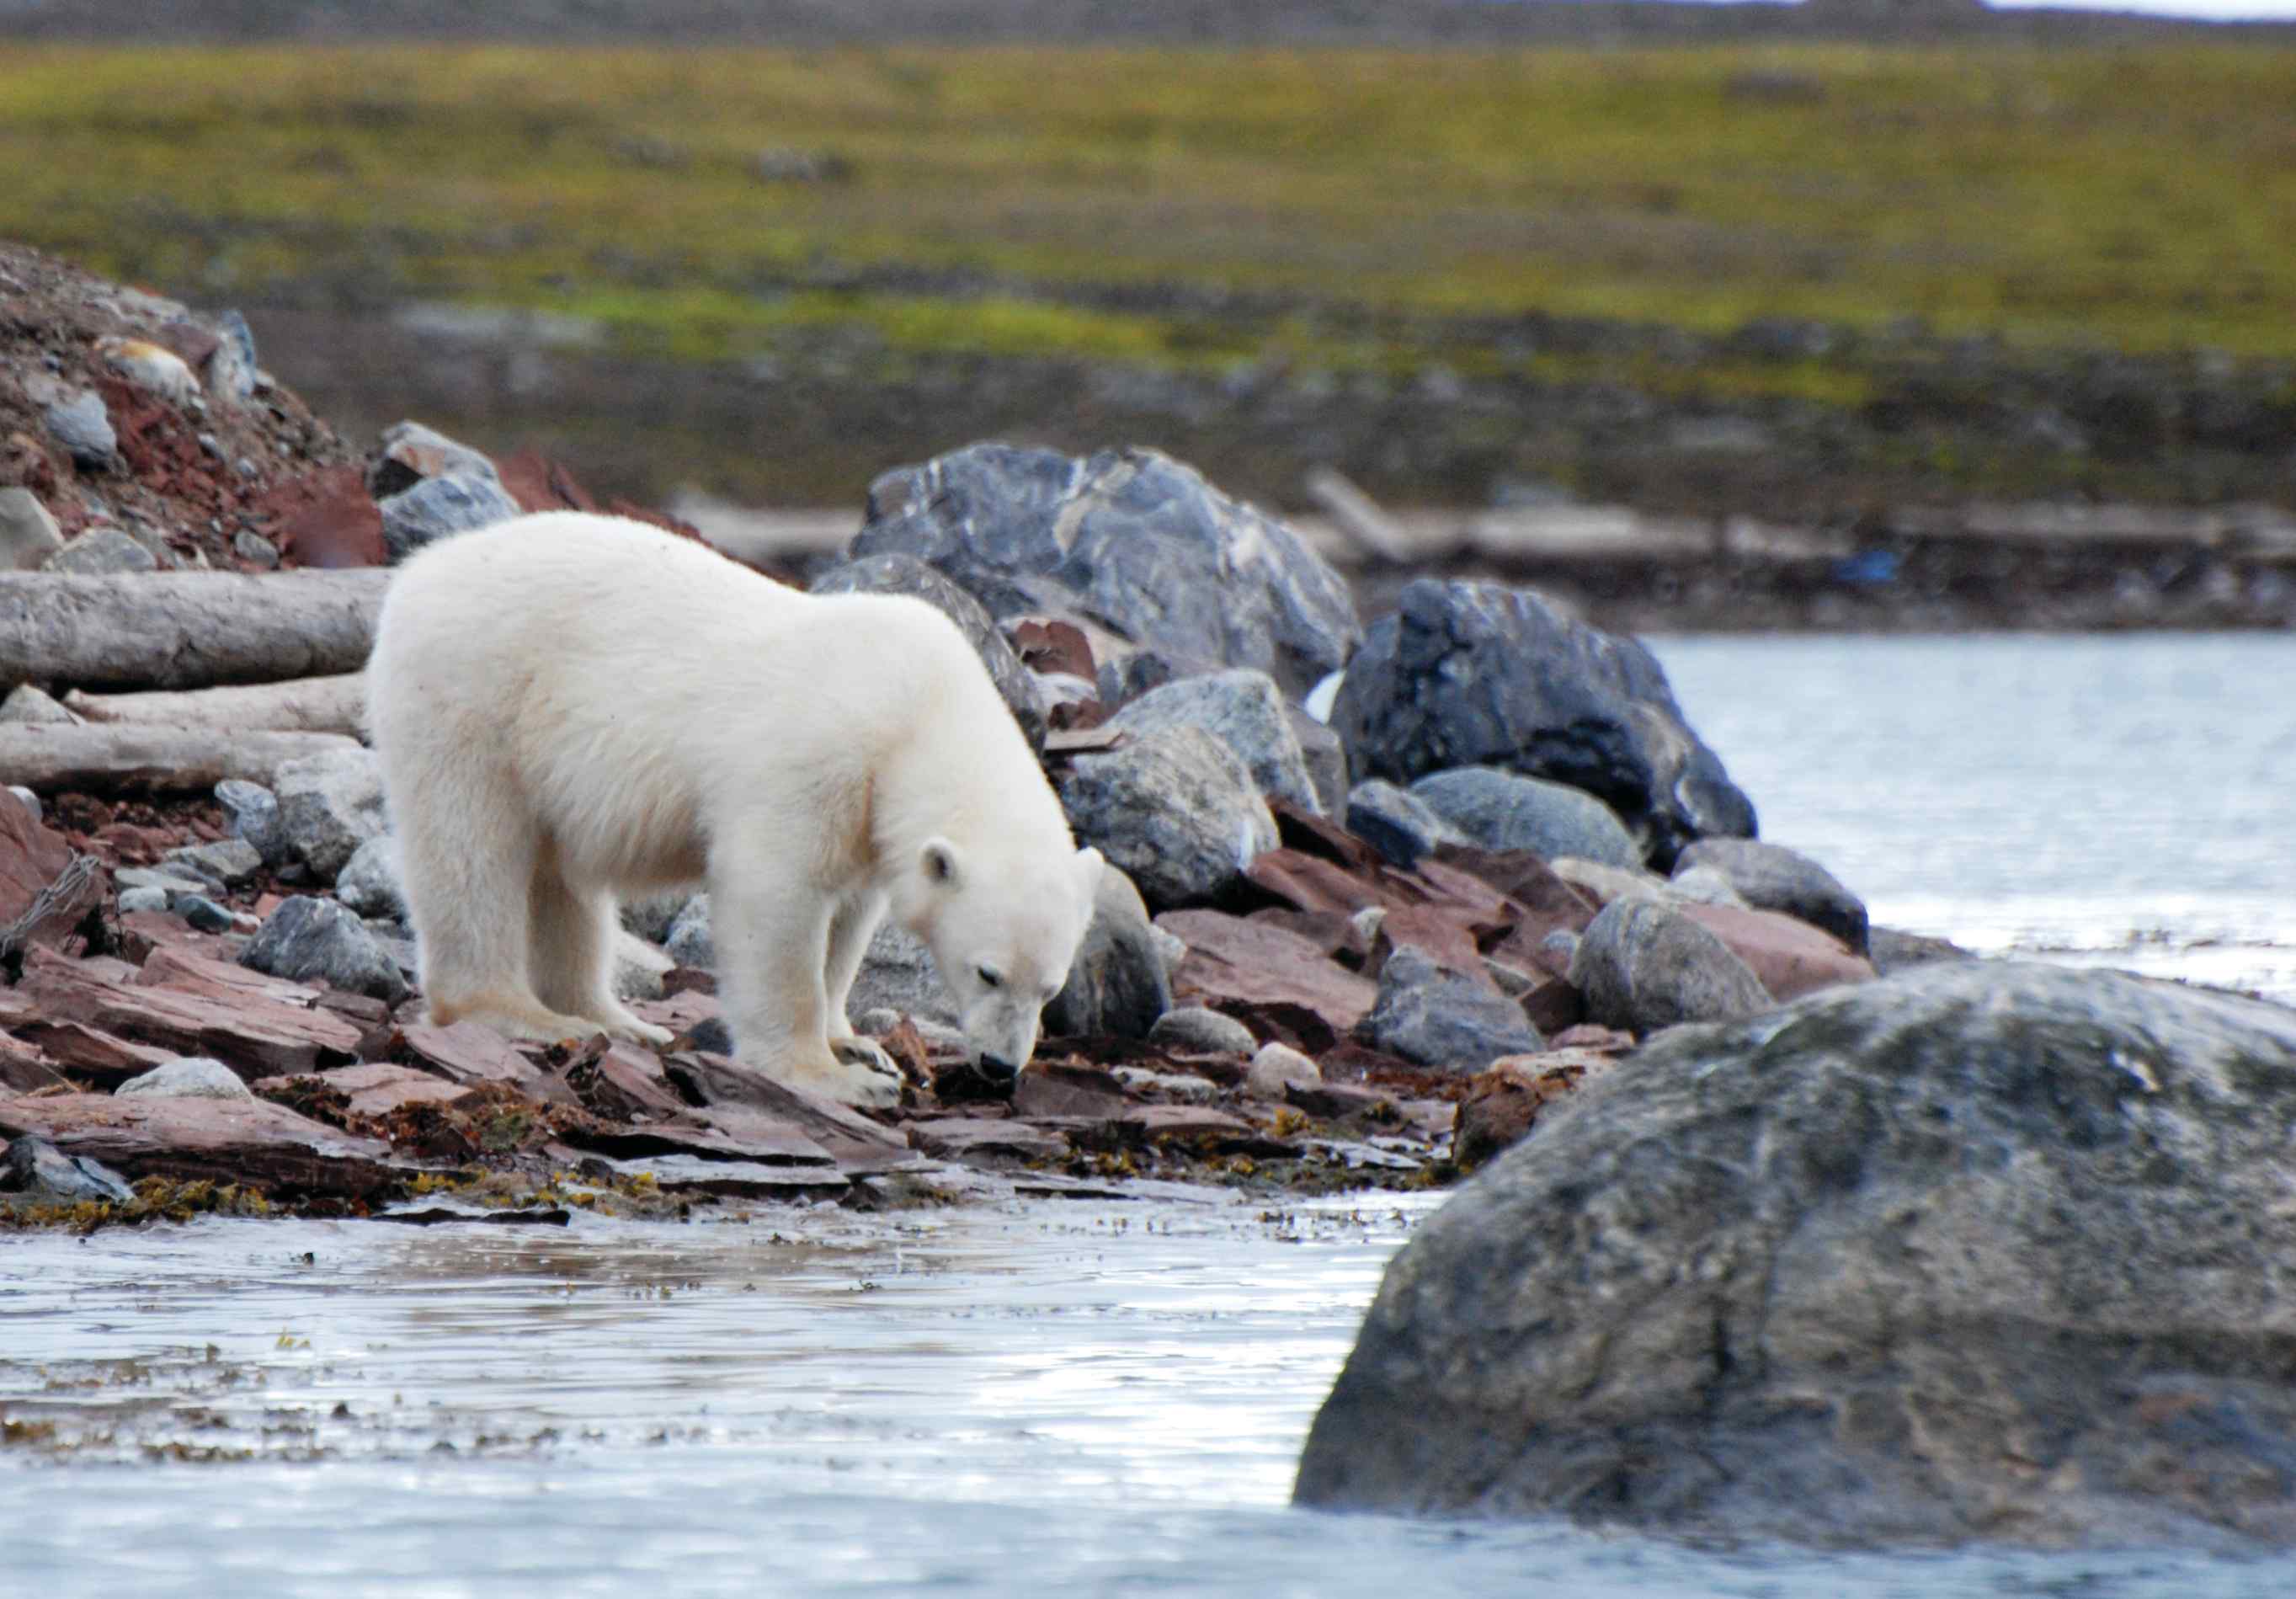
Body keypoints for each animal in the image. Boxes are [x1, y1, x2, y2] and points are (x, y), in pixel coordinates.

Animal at [365, 505, 1101, 1107]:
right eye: (987, 971)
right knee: (472, 850)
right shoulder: (818, 758)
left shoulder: (867, 819)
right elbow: (777, 896)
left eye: (1051, 988)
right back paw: (526, 1013)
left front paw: (858, 1042)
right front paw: (834, 1076)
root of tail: (418, 572)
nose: (999, 1066)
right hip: (474, 694)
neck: (919, 708)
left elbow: (849, 920)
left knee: (561, 880)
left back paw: (613, 1019)